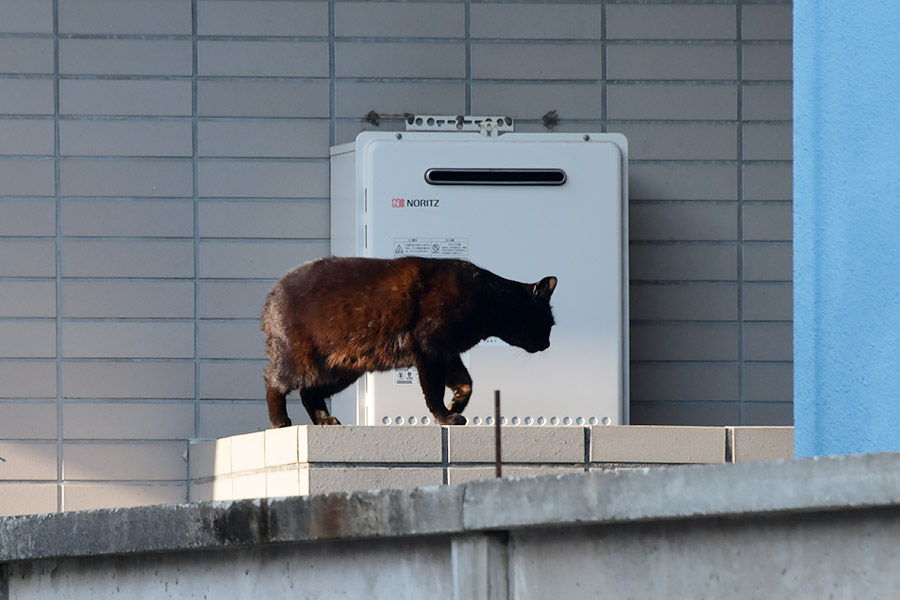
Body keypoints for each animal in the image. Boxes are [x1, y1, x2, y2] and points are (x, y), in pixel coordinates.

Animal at [260, 256, 556, 426]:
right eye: (549, 324)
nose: (548, 345)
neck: (488, 297)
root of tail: (271, 294)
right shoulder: (428, 345)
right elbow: (433, 390)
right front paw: (444, 416)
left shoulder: (448, 353)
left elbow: (466, 383)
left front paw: (456, 406)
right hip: (301, 360)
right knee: (273, 381)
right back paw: (279, 421)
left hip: (341, 368)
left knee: (308, 392)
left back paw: (325, 420)